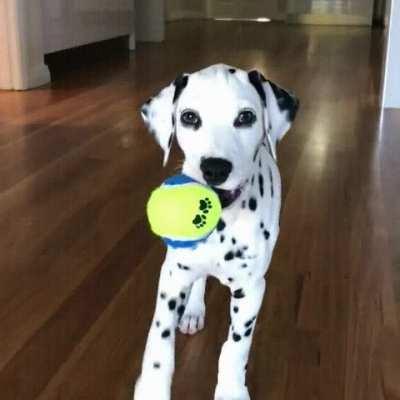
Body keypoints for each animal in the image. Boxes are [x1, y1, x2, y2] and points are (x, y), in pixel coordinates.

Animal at [134, 64, 296, 398]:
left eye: (245, 117)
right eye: (189, 117)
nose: (215, 169)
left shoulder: (251, 290)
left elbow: (235, 349)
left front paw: (231, 390)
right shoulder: (171, 277)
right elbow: (159, 342)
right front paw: (152, 388)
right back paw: (193, 310)